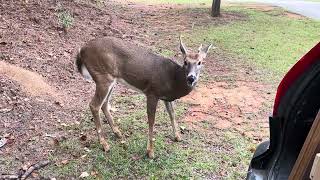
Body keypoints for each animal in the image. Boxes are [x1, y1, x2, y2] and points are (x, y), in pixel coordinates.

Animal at [75, 35, 212, 158]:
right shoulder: (152, 92)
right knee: (94, 105)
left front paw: (177, 137)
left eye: (200, 62)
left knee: (104, 103)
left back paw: (118, 133)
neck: (173, 80)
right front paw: (150, 152)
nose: (191, 78)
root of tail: (81, 50)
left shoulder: (166, 97)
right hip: (102, 76)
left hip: (111, 79)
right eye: (185, 62)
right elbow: (152, 120)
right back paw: (104, 144)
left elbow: (172, 113)